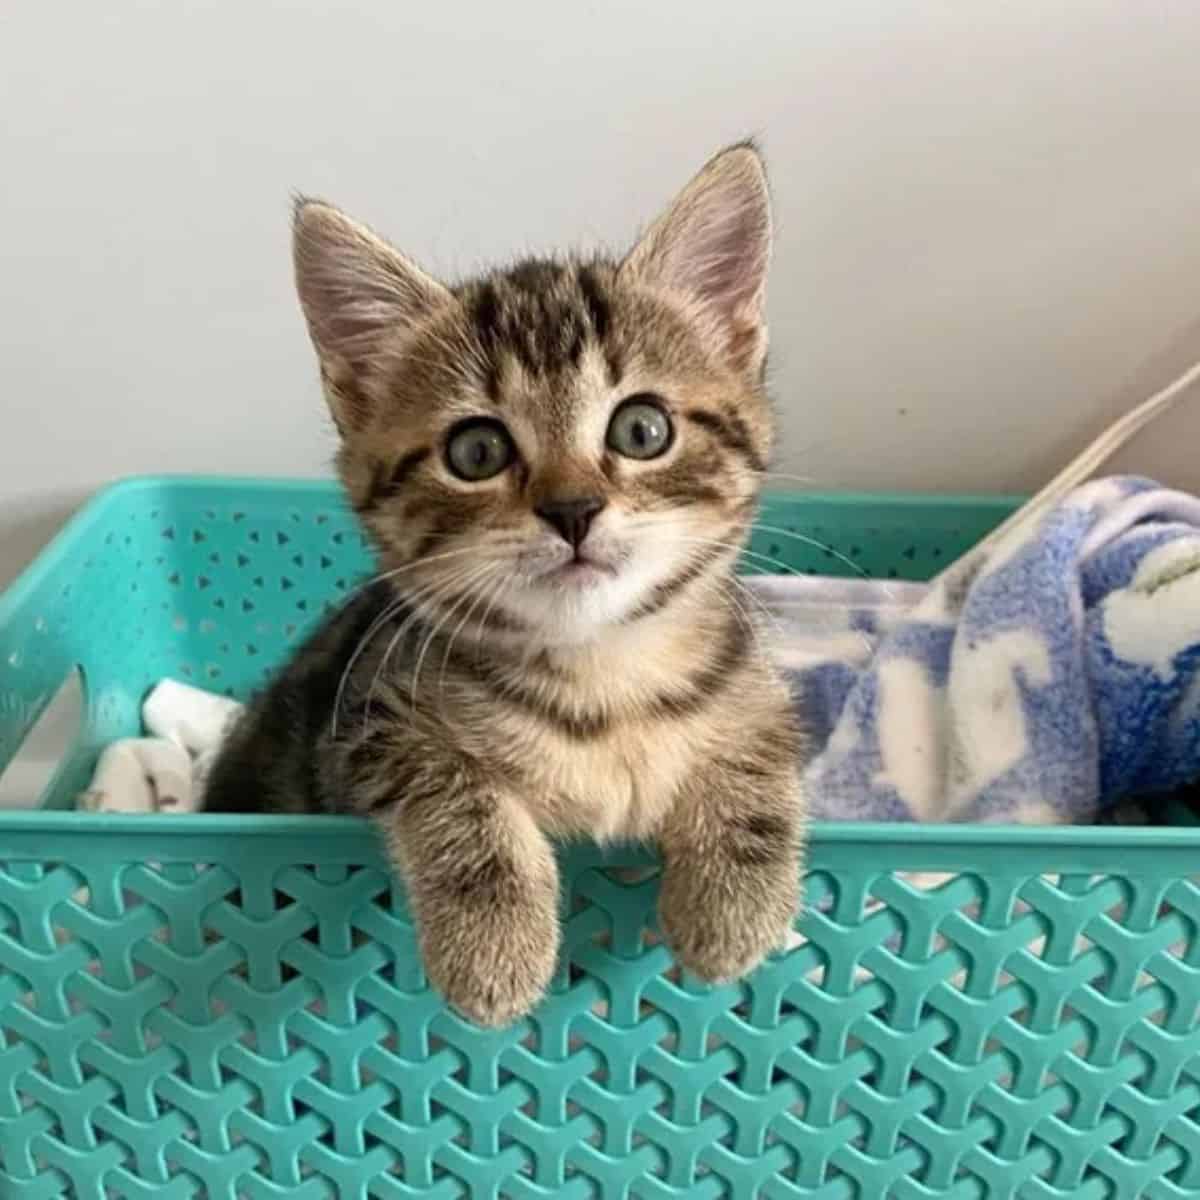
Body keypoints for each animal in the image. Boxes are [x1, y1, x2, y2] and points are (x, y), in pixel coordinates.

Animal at [204, 140, 806, 1022]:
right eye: (477, 451)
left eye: (643, 429)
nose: (573, 509)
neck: (603, 683)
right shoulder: (361, 725)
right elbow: (449, 781)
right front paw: (494, 943)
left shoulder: (750, 675)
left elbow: (762, 736)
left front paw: (735, 904)